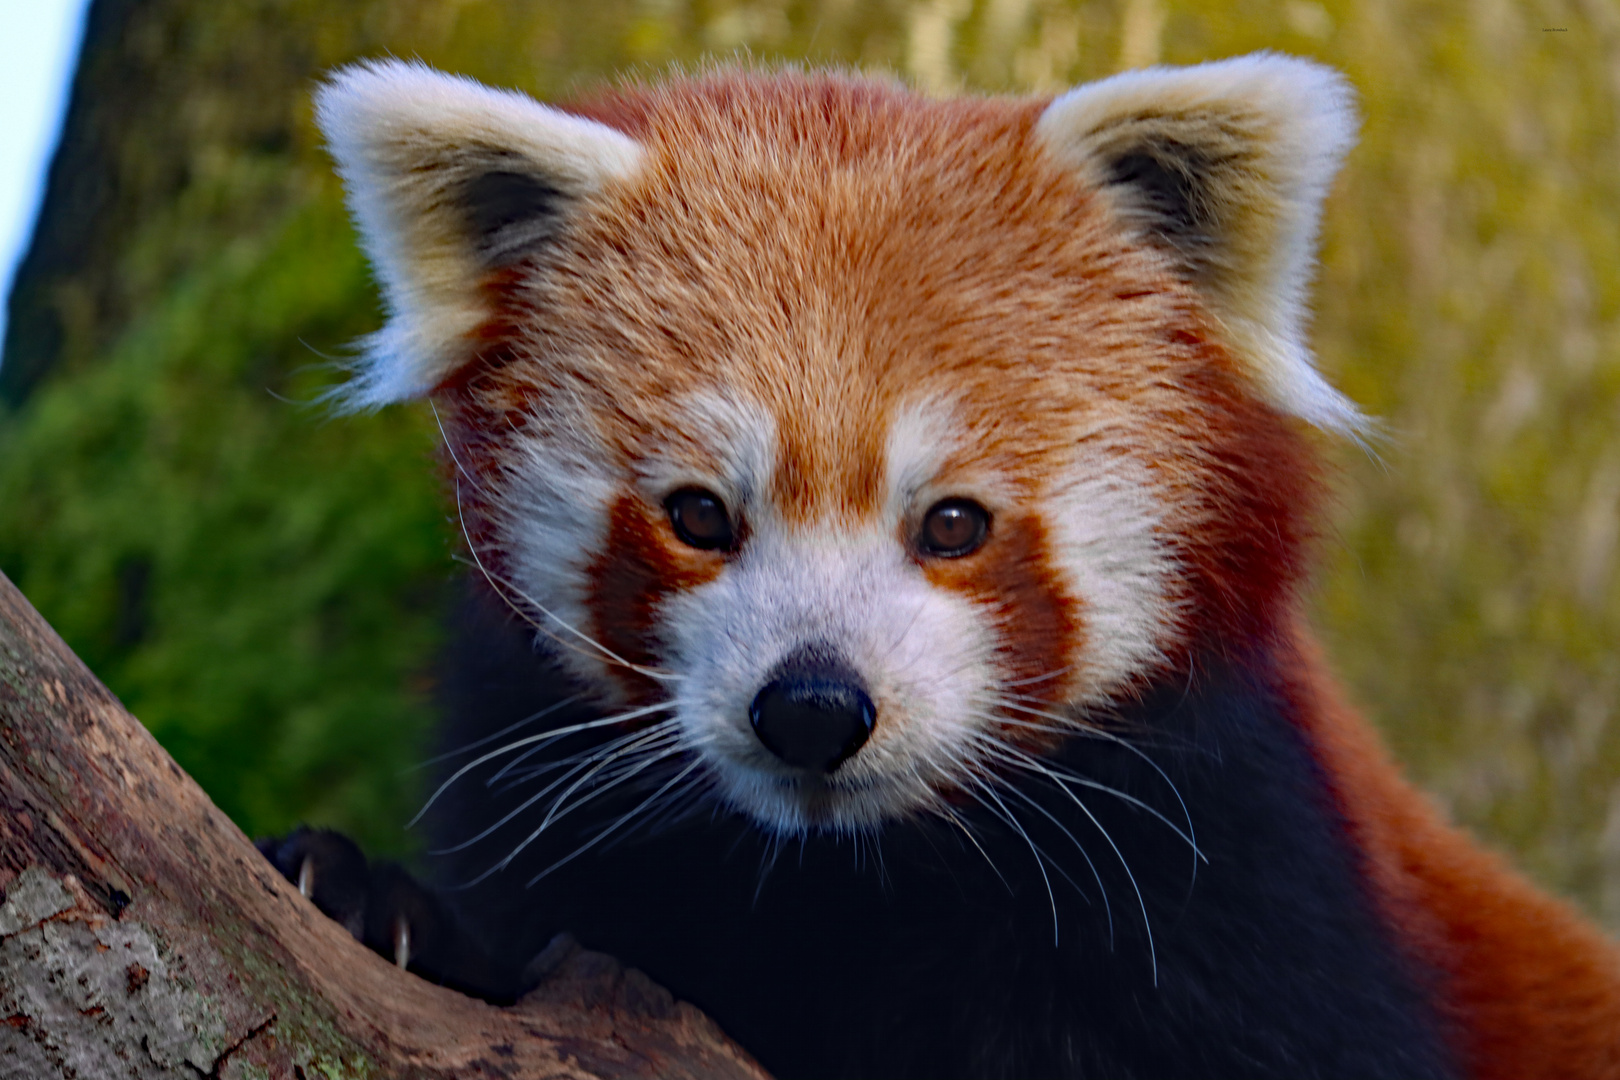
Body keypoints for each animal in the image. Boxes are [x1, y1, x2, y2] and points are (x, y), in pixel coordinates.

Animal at [259, 52, 1620, 1080]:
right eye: (699, 514)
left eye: (954, 523)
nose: (813, 706)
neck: (857, 881)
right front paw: (372, 898)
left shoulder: (1250, 885)